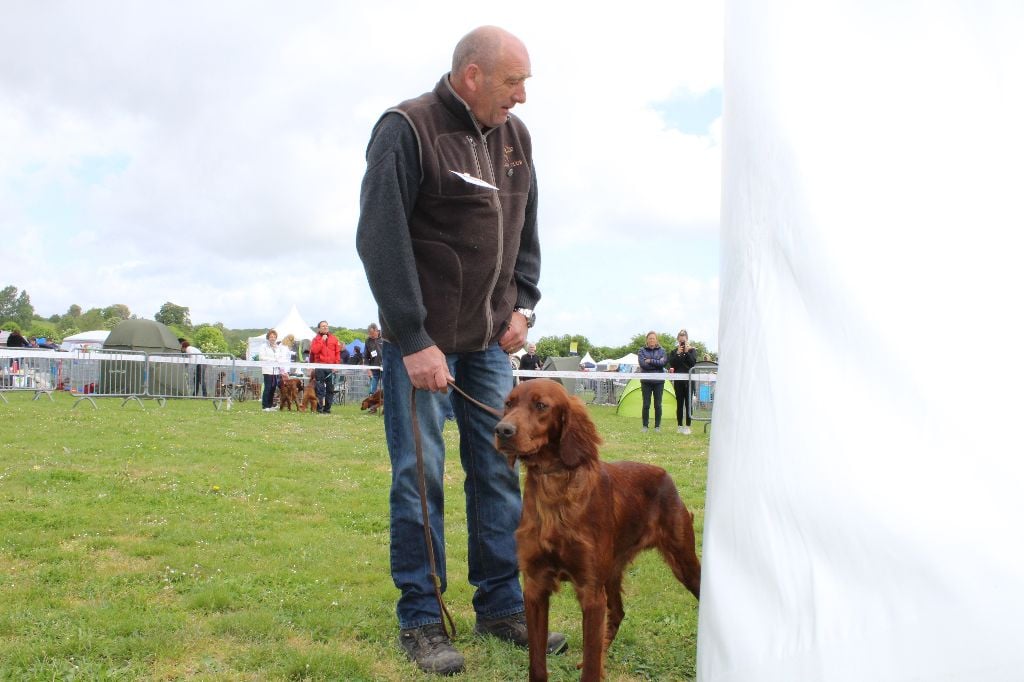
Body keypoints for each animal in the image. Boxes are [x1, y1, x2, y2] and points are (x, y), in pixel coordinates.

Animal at [491, 376, 700, 679]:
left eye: (541, 405)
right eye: (508, 404)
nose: (502, 430)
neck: (554, 486)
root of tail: (663, 473)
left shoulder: (590, 590)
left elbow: (589, 665)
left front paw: (593, 666)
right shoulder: (535, 586)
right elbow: (537, 662)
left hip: (683, 560)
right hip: (612, 570)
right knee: (618, 613)